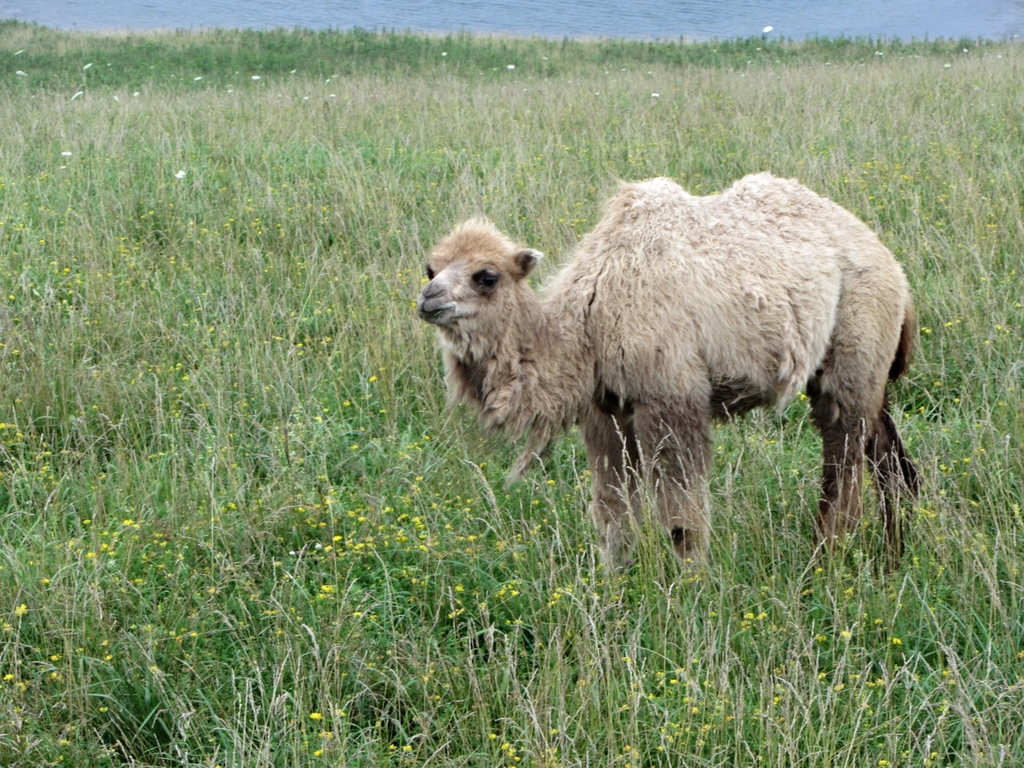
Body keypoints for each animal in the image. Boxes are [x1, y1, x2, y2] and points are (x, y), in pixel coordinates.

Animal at [417, 173, 919, 568]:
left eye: (486, 276)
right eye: (430, 268)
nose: (428, 299)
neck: (590, 320)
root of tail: (893, 266)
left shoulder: (671, 398)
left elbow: (682, 521)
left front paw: (691, 593)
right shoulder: (606, 409)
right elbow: (614, 517)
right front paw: (619, 591)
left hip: (857, 335)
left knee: (844, 452)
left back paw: (825, 560)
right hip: (866, 366)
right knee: (888, 452)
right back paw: (894, 553)